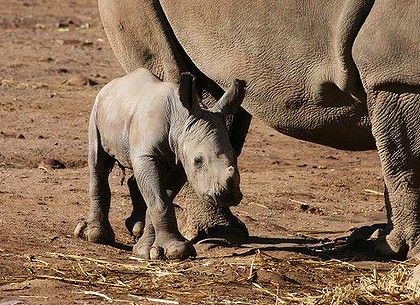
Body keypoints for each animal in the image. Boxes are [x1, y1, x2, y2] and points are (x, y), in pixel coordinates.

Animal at [75, 67, 246, 258]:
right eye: (198, 161)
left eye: (235, 156)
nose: (228, 196)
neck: (181, 119)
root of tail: (112, 84)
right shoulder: (148, 156)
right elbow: (160, 201)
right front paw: (176, 251)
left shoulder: (180, 163)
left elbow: (163, 198)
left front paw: (148, 249)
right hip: (97, 108)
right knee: (98, 162)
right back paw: (95, 235)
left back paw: (135, 229)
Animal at [98, 0, 420, 258]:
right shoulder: (397, 73)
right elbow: (407, 162)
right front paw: (405, 250)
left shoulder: (394, 72)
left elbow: (399, 159)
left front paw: (387, 243)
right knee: (175, 77)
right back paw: (214, 238)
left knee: (216, 98)